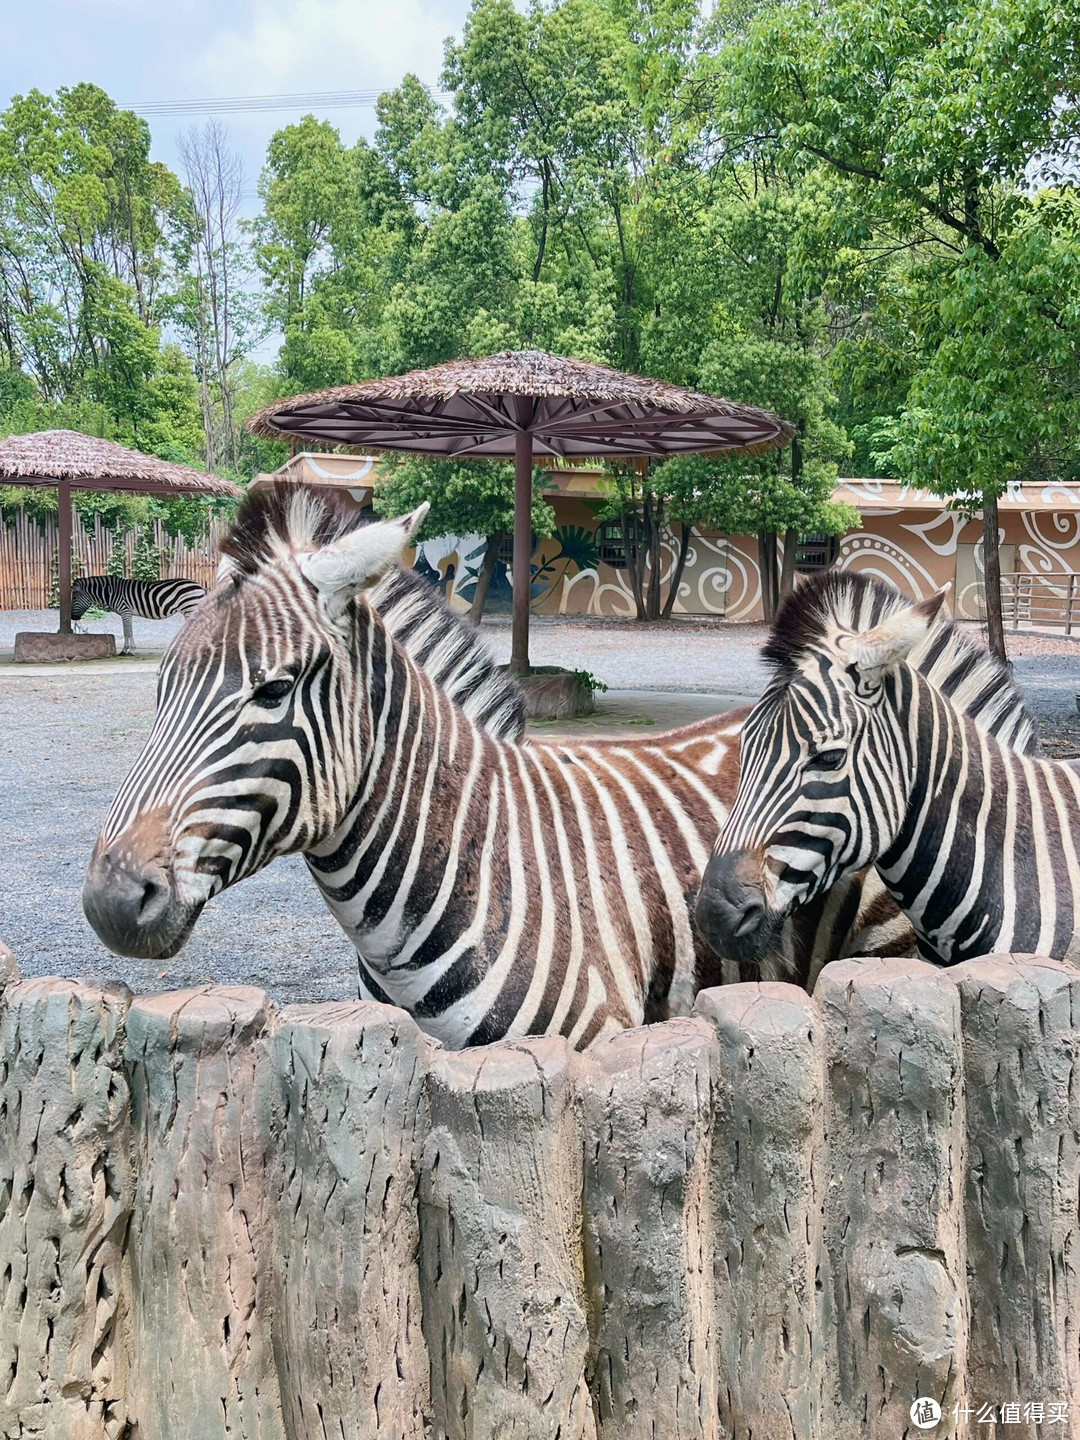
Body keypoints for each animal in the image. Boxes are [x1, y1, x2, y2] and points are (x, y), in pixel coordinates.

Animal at [72, 578, 208, 659]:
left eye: (74, 598)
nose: (73, 617)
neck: (112, 592)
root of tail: (199, 586)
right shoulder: (124, 614)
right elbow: (125, 632)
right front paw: (124, 650)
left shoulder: (126, 611)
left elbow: (128, 632)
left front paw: (130, 650)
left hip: (190, 609)